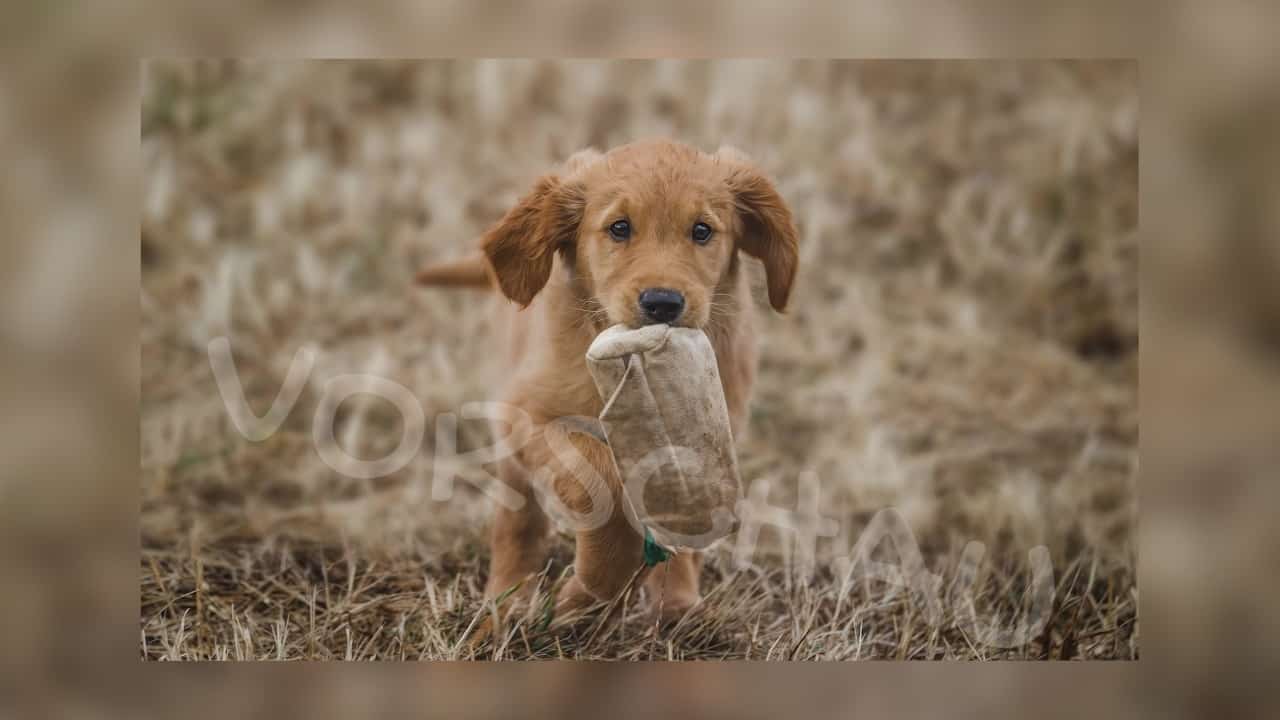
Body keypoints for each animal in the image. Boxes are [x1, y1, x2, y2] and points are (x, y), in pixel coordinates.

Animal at [419, 139, 793, 617]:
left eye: (702, 230)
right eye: (619, 228)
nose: (662, 303)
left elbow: (684, 513)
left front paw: (657, 594)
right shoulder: (529, 412)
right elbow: (604, 482)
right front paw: (594, 587)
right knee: (517, 518)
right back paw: (510, 594)